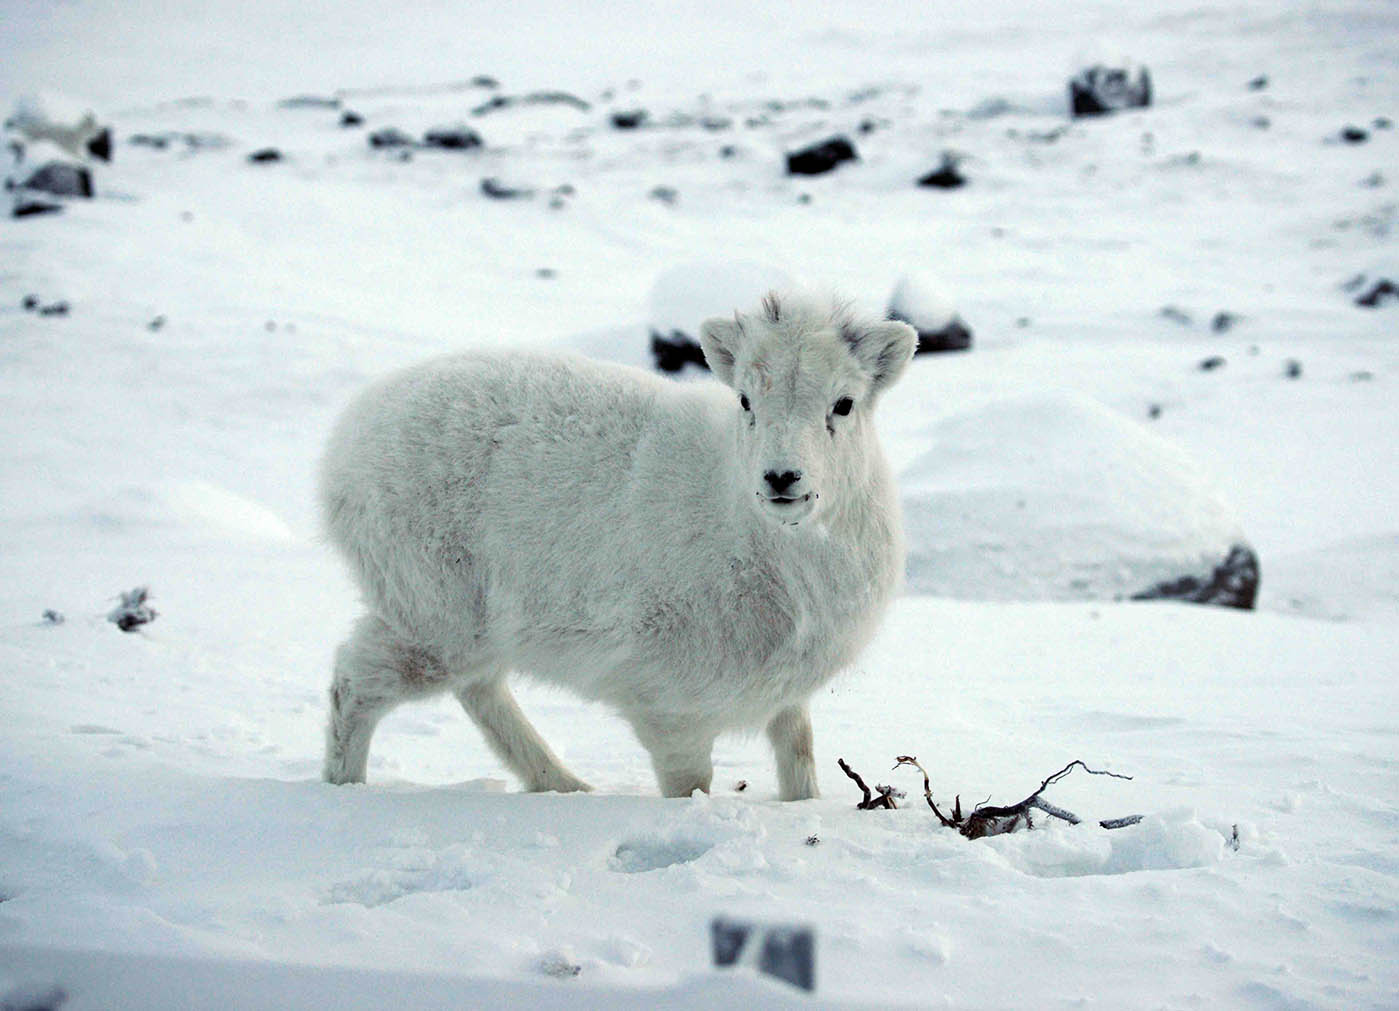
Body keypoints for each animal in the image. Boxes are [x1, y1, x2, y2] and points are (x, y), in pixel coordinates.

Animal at [321, 292, 923, 799]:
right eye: (745, 400)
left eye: (844, 404)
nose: (781, 479)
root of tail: (342, 449)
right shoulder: (671, 708)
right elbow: (692, 786)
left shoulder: (784, 697)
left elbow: (799, 758)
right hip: (433, 617)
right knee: (356, 683)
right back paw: (344, 791)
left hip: (469, 628)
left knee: (478, 689)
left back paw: (565, 786)